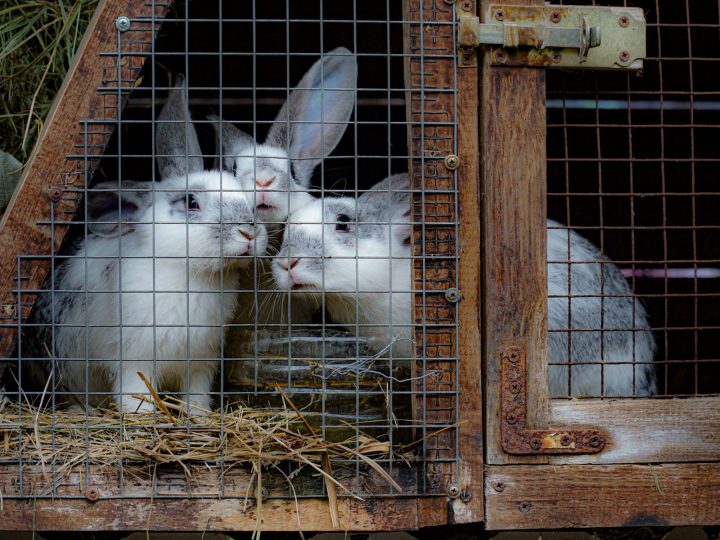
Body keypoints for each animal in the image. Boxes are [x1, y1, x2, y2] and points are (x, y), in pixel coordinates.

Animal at [21, 76, 268, 413]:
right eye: (191, 202)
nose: (249, 232)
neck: (190, 273)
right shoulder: (133, 360)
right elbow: (136, 393)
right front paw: (140, 415)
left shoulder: (200, 363)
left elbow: (197, 395)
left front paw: (199, 415)